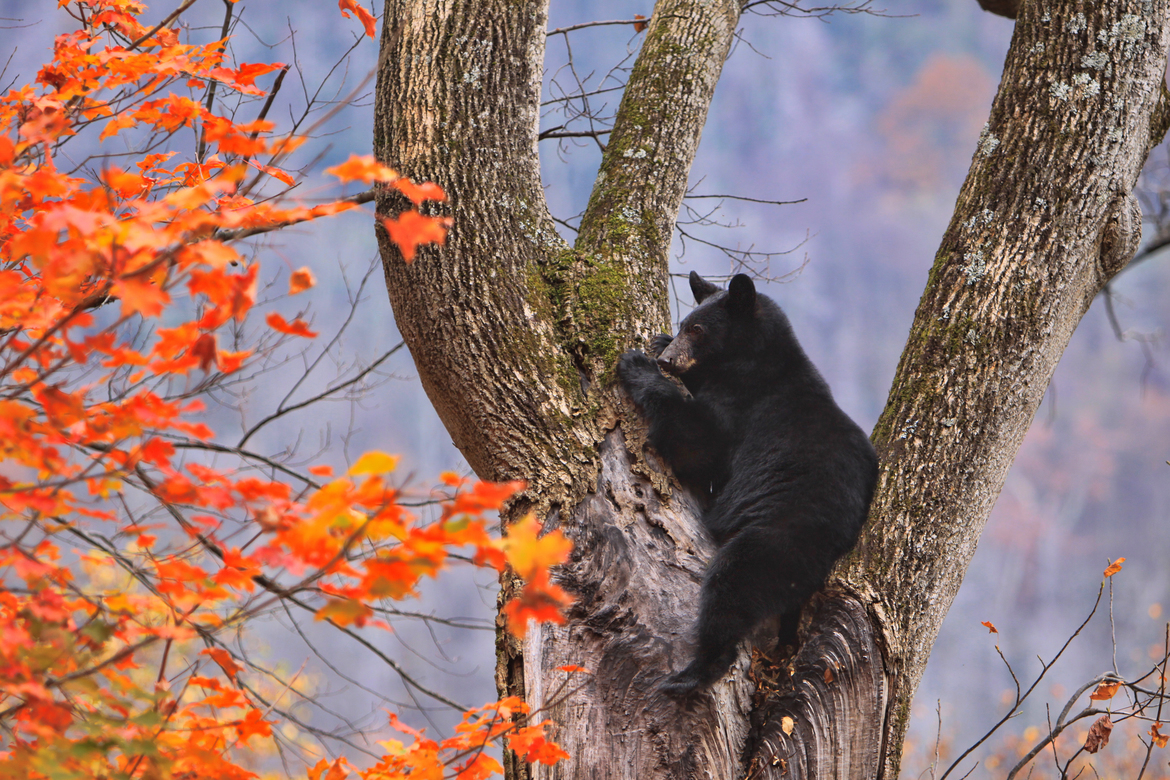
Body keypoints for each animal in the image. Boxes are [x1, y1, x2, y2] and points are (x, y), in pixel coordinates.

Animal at [617, 271, 878, 697]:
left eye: (698, 329)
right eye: (684, 324)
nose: (667, 359)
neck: (756, 362)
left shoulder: (744, 408)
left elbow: (699, 444)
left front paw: (637, 364)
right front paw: (656, 342)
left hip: (779, 543)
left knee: (731, 588)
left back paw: (690, 675)